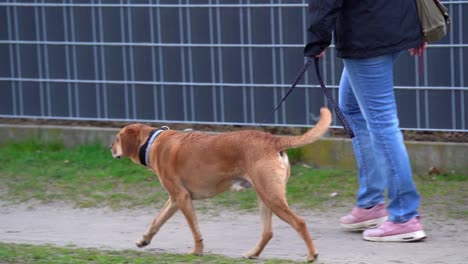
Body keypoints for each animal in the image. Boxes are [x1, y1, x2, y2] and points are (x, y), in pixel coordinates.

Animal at [109, 107, 330, 262]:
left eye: (117, 138)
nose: (110, 148)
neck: (152, 142)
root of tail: (273, 140)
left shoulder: (182, 198)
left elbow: (195, 230)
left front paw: (197, 251)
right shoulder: (174, 200)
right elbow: (156, 221)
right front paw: (144, 239)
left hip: (272, 197)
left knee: (299, 222)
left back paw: (311, 255)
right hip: (265, 197)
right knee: (267, 232)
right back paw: (253, 254)